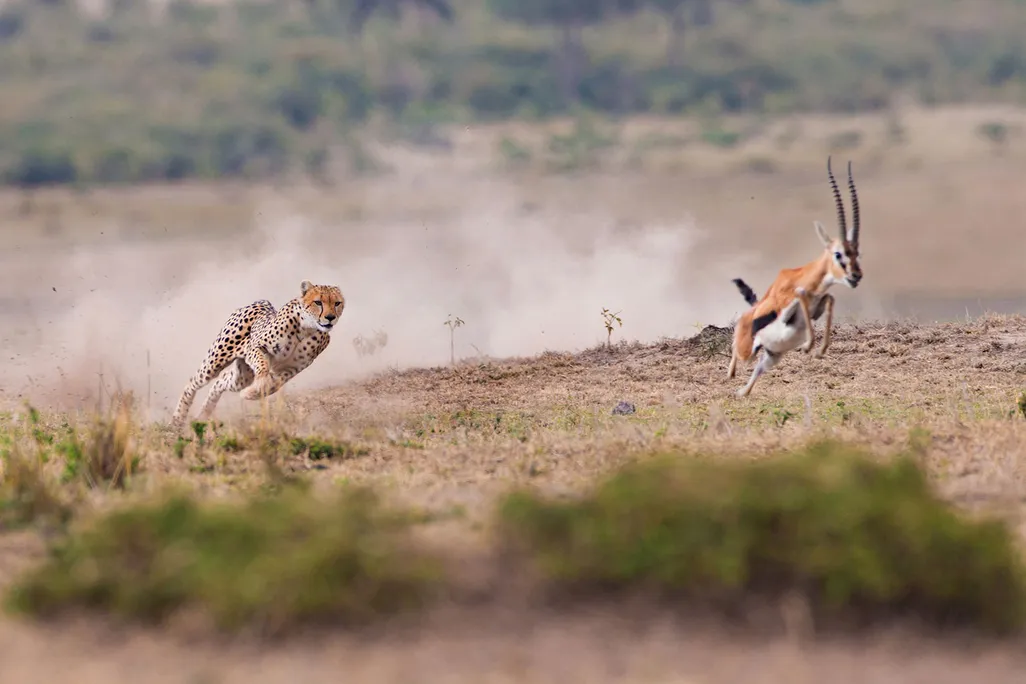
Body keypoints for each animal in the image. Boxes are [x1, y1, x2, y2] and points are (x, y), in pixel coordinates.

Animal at [170, 280, 345, 430]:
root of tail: (260, 302)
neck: (307, 329)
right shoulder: (256, 347)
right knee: (193, 382)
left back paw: (204, 414)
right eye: (318, 302)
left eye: (337, 303)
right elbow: (262, 366)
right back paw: (177, 419)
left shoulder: (290, 369)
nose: (330, 318)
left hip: (241, 377)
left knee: (220, 381)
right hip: (216, 360)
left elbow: (274, 385)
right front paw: (260, 382)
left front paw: (251, 393)